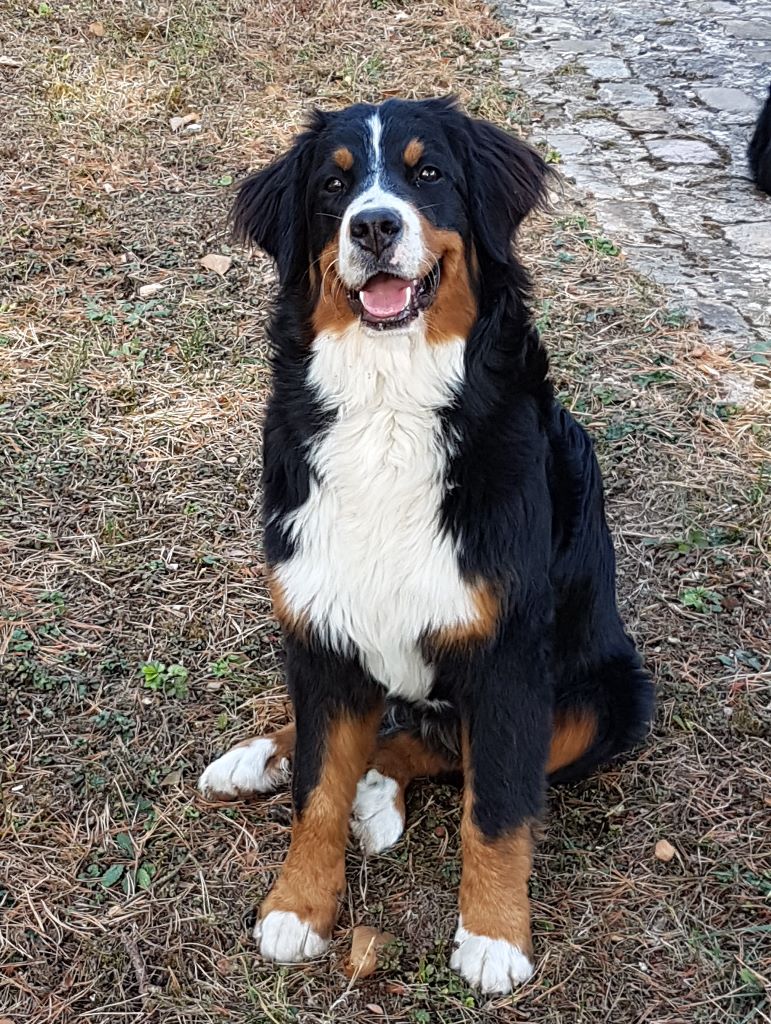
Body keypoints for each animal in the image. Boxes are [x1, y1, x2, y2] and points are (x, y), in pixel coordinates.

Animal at [199, 96, 655, 991]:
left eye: (429, 173)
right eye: (333, 184)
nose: (373, 225)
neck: (388, 405)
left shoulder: (507, 656)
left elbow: (497, 807)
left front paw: (493, 935)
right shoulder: (319, 620)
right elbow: (317, 788)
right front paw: (296, 906)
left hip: (603, 701)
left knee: (435, 749)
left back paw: (379, 788)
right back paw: (258, 758)